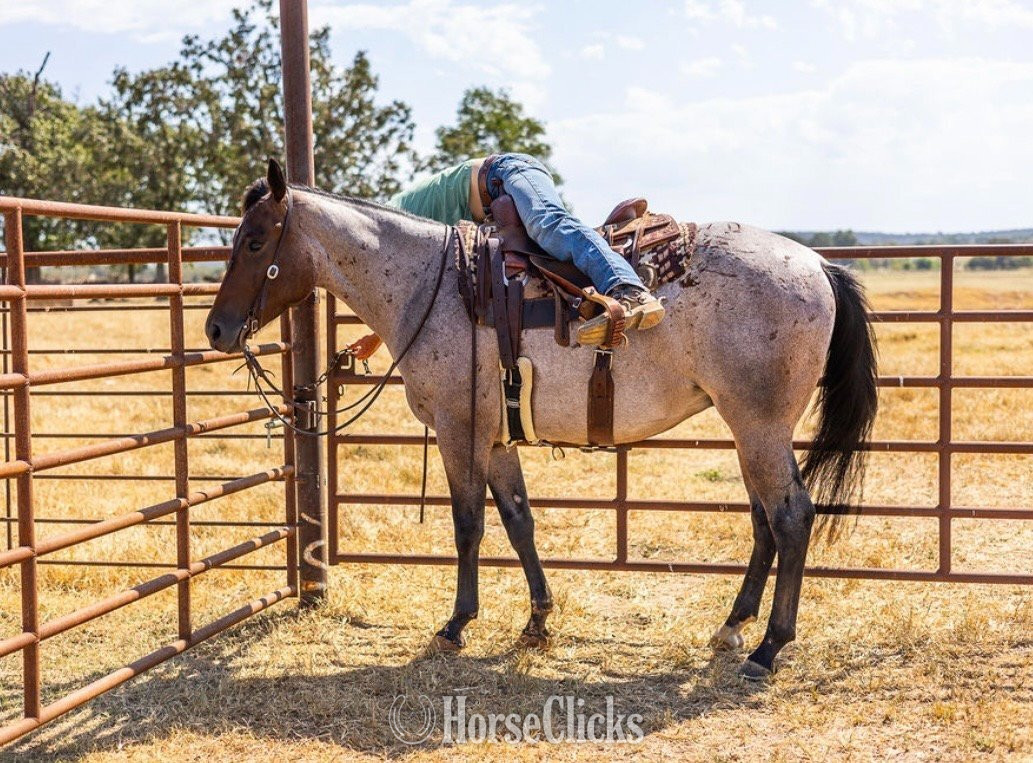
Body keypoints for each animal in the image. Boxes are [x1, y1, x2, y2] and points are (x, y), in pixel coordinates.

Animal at [205, 159, 877, 680]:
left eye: (256, 241)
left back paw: (768, 648)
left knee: (791, 516)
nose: (215, 329)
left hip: (759, 426)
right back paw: (733, 627)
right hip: (747, 429)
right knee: (765, 521)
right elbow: (519, 521)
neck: (432, 284)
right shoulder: (496, 436)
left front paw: (455, 625)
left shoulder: (459, 430)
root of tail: (817, 264)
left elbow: (469, 525)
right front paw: (537, 620)